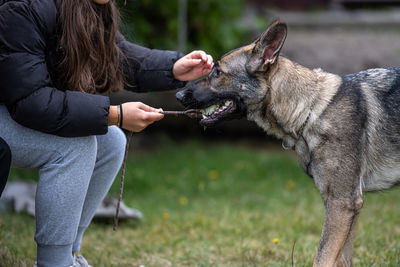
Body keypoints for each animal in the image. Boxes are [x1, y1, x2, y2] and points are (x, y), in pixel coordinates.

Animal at [175, 17, 400, 266]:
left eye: (217, 72)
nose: (178, 95)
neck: (311, 108)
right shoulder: (342, 206)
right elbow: (339, 259)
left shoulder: (343, 203)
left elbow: (322, 257)